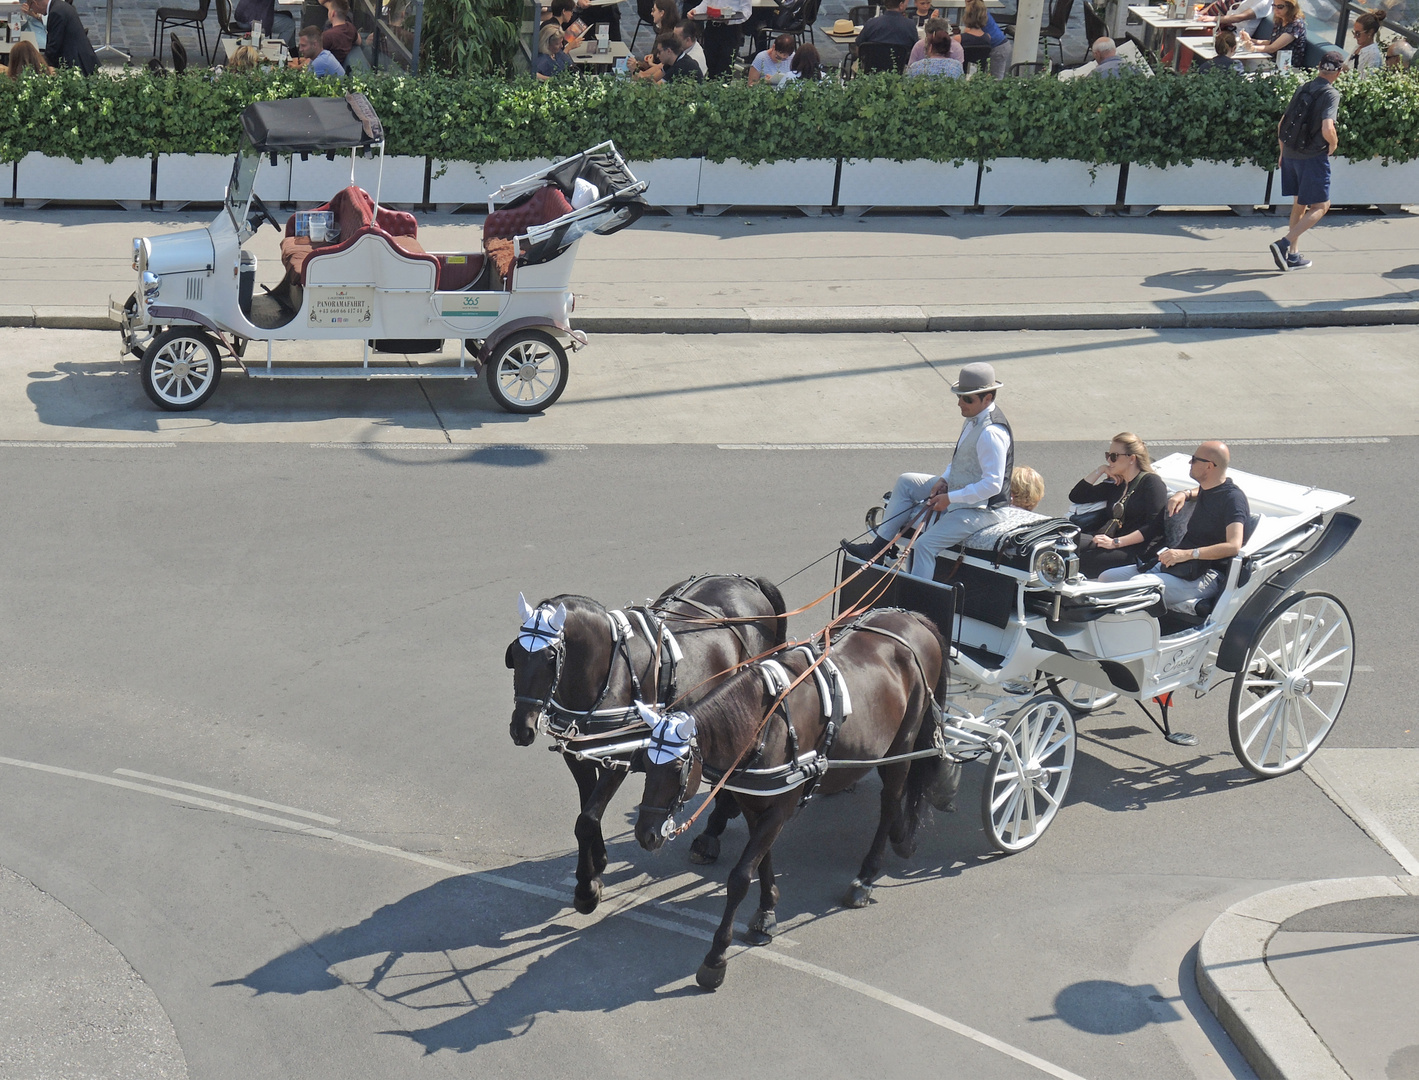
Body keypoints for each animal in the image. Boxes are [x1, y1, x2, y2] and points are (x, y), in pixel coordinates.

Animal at [505, 573, 788, 908]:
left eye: (551, 657)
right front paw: (597, 864)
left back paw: (713, 830)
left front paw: (586, 889)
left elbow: (586, 820)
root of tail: (746, 580)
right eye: (515, 655)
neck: (609, 670)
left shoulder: (618, 761)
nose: (521, 729)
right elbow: (588, 812)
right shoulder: (579, 756)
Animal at [635, 607, 953, 987]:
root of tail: (916, 618)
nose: (645, 834)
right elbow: (763, 861)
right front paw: (766, 912)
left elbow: (740, 876)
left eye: (676, 770)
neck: (765, 723)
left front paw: (716, 957)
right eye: (644, 763)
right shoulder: (756, 804)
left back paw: (866, 876)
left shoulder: (780, 807)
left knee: (891, 800)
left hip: (903, 744)